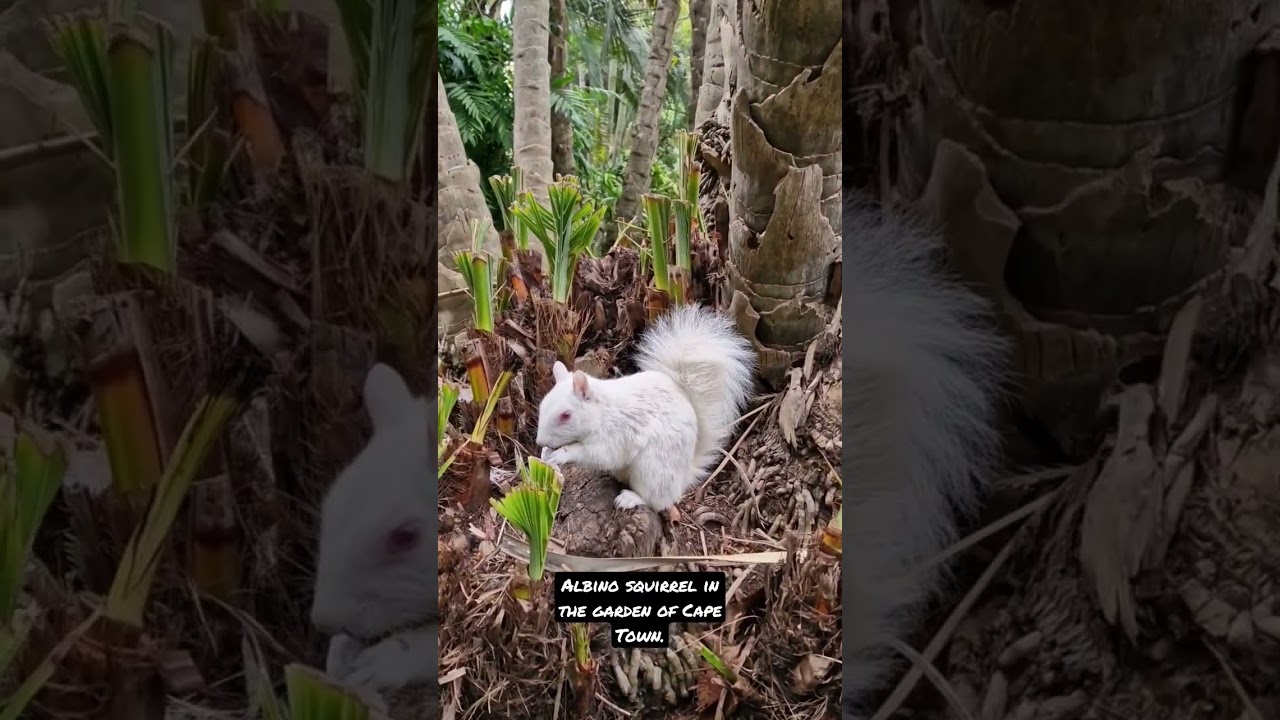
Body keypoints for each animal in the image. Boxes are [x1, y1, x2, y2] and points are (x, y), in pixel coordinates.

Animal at [536, 304, 756, 516]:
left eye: (566, 415)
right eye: (542, 405)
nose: (540, 442)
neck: (602, 413)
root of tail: (685, 473)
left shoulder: (615, 435)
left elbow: (597, 454)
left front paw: (562, 454)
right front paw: (545, 454)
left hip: (654, 469)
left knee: (659, 500)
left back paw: (631, 498)